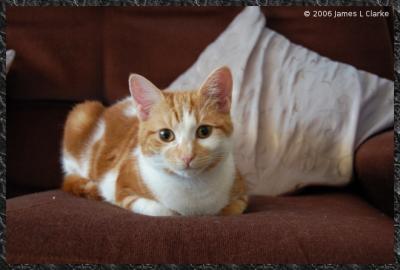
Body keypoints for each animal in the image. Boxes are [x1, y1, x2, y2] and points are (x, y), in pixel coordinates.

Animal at [60, 66, 247, 216]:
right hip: (81, 114)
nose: (187, 156)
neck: (192, 190)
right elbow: (164, 212)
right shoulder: (121, 189)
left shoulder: (241, 194)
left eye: (204, 131)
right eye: (165, 135)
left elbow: (229, 210)